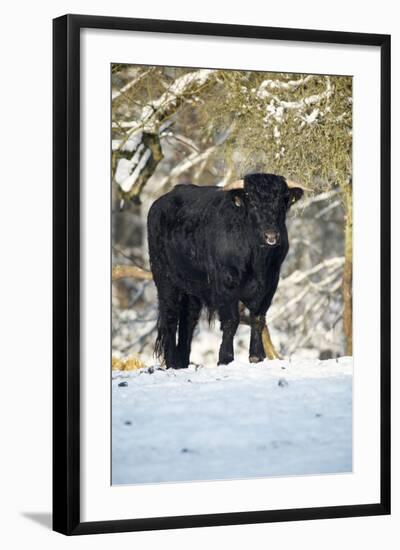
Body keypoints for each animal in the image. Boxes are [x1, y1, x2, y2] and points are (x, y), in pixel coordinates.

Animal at [147, 172, 304, 370]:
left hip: (192, 289)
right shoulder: (225, 284)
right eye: (252, 202)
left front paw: (256, 356)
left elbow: (258, 318)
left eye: (281, 203)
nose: (271, 236)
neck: (257, 260)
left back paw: (182, 362)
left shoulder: (270, 284)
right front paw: (225, 358)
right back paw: (172, 363)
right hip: (165, 279)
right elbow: (231, 320)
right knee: (170, 317)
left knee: (188, 320)